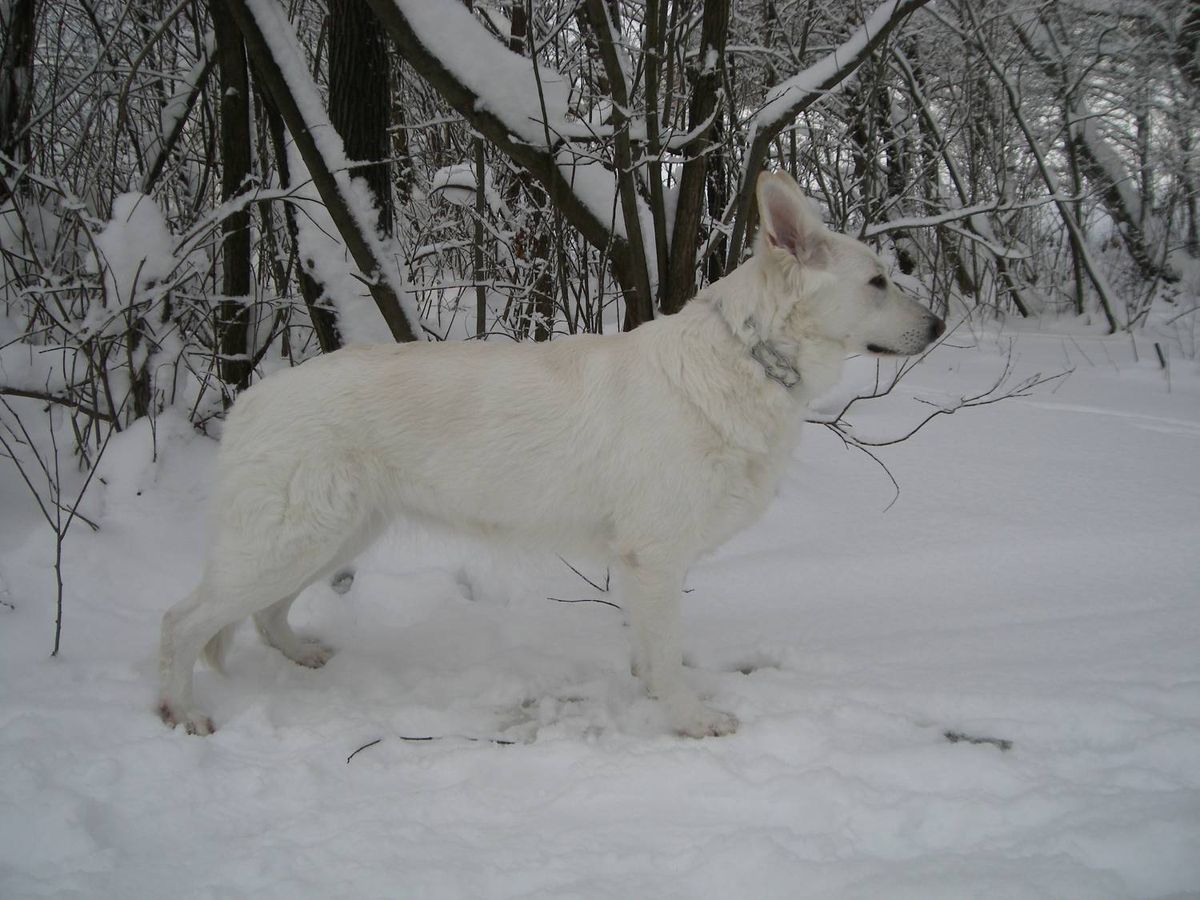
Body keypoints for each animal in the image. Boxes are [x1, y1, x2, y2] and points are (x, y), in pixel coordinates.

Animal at [159, 170, 945, 739]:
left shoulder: (647, 565)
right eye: (878, 282)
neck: (745, 359)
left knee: (263, 616)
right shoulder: (655, 556)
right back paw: (180, 711)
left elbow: (651, 648)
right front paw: (689, 719)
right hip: (293, 541)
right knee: (183, 619)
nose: (939, 324)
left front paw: (653, 688)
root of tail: (251, 398)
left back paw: (300, 656)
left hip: (331, 537)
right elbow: (667, 654)